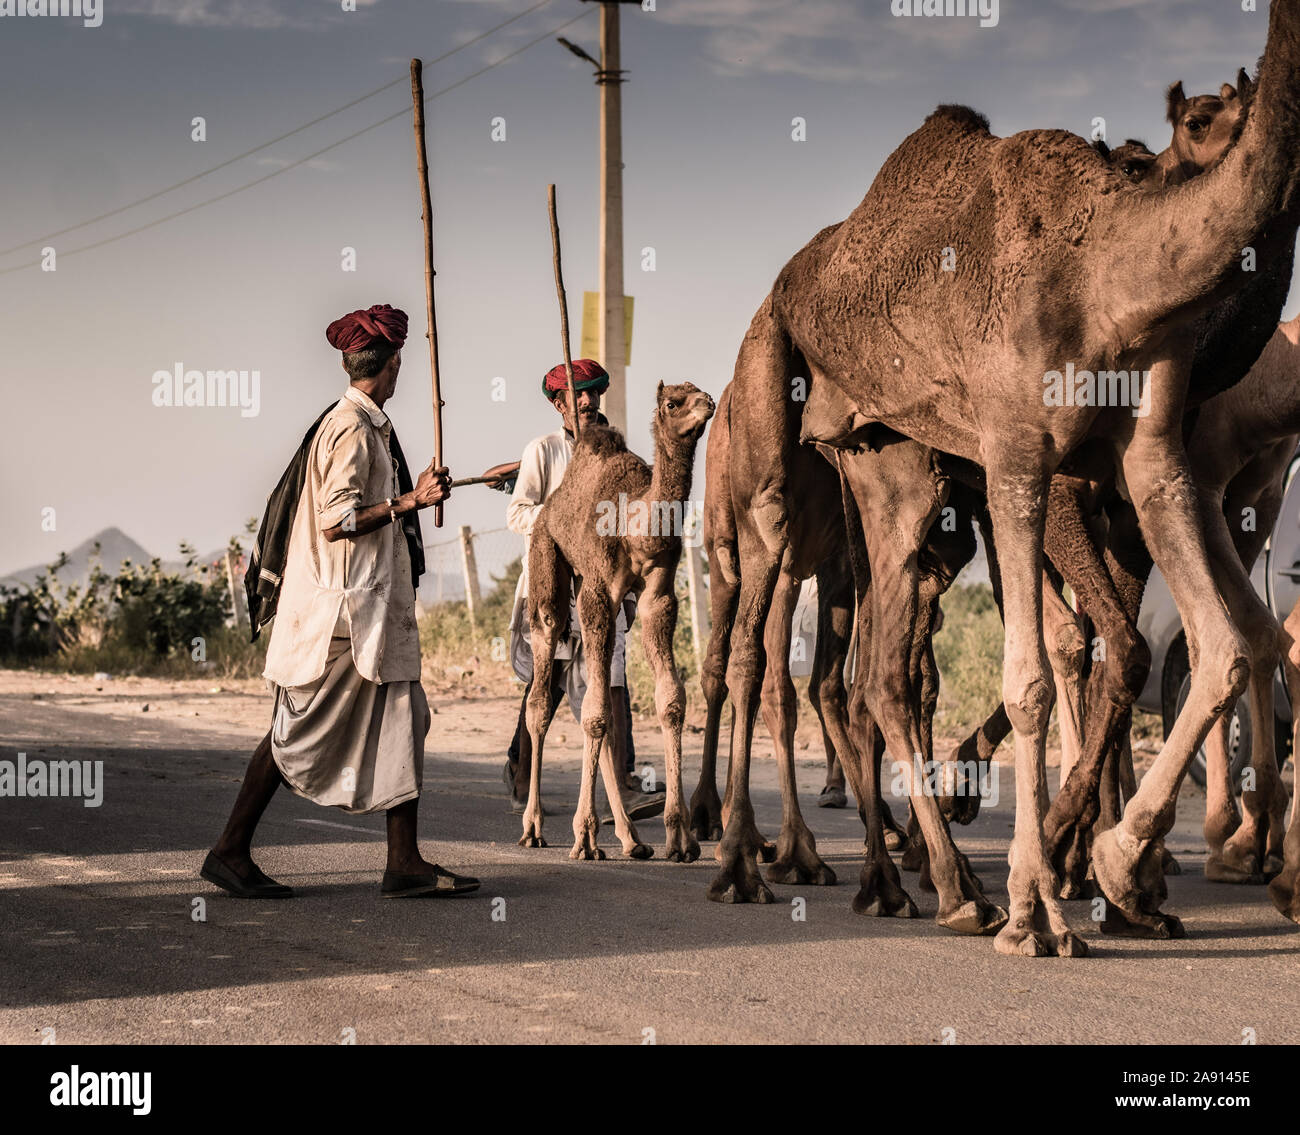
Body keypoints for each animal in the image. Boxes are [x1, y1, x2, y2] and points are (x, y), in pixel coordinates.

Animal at [520, 379, 722, 858]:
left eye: (700, 390)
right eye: (673, 402)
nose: (708, 403)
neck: (635, 524)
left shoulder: (657, 595)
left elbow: (670, 701)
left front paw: (680, 837)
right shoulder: (596, 592)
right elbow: (593, 714)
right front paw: (583, 837)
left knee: (604, 707)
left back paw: (631, 838)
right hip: (547, 559)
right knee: (541, 692)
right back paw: (535, 827)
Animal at [712, 2, 1300, 956]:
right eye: (1197, 121)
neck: (1107, 272)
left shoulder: (1154, 456)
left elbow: (1221, 646)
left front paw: (1116, 867)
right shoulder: (1023, 454)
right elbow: (1040, 671)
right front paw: (1044, 904)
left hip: (898, 480)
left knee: (884, 668)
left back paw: (931, 882)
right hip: (775, 425)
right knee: (765, 643)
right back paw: (760, 864)